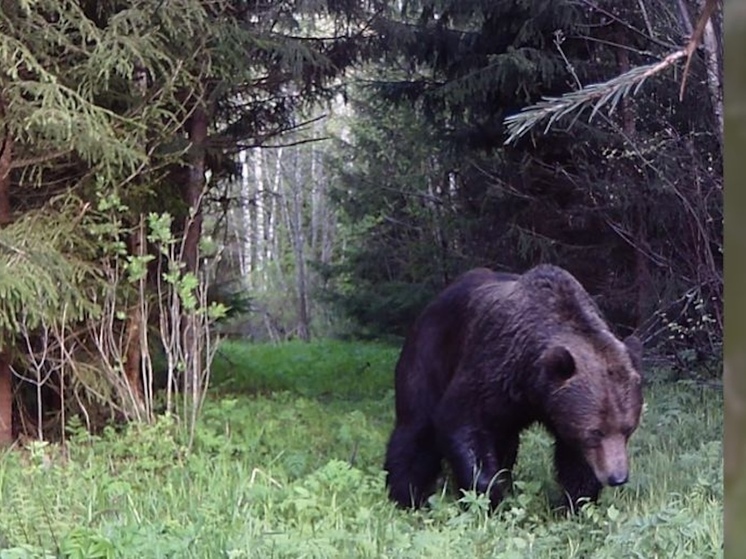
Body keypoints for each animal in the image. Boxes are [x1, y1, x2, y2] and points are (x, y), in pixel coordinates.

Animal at [384, 264, 640, 516]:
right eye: (595, 432)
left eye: (627, 429)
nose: (617, 477)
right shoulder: (492, 365)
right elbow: (461, 420)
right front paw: (489, 497)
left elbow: (575, 459)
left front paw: (575, 504)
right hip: (430, 353)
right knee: (416, 426)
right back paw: (408, 494)